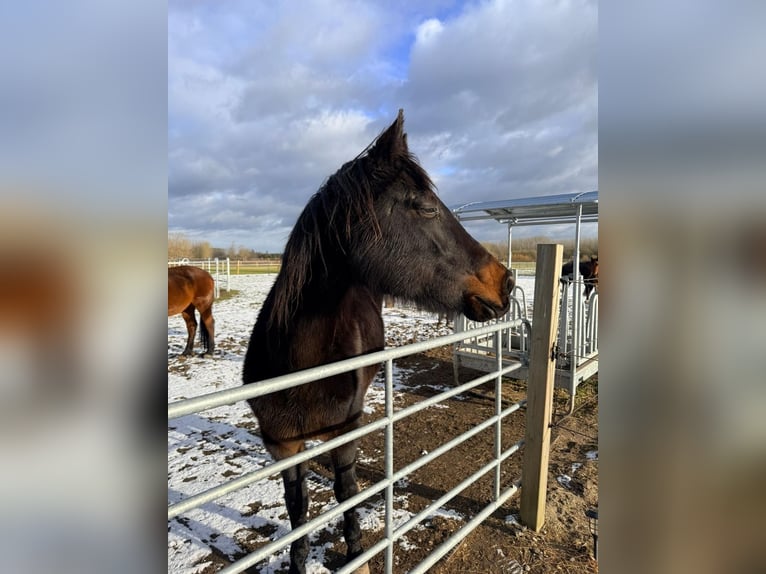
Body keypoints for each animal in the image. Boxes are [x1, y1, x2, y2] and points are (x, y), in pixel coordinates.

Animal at [242, 110, 513, 574]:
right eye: (424, 207)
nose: (506, 281)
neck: (298, 371)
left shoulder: (345, 432)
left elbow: (346, 492)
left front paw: (356, 554)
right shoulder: (281, 445)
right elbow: (297, 507)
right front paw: (298, 563)